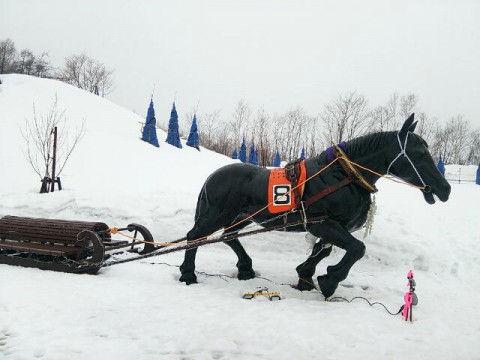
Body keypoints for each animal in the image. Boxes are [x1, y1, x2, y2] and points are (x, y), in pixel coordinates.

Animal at [179, 116, 450, 298]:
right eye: (419, 154)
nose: (445, 189)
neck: (343, 175)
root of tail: (213, 176)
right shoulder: (323, 223)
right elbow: (357, 248)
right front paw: (329, 279)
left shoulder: (329, 227)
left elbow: (323, 252)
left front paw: (306, 276)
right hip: (216, 214)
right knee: (194, 236)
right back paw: (188, 273)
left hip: (242, 217)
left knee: (228, 236)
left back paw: (245, 268)